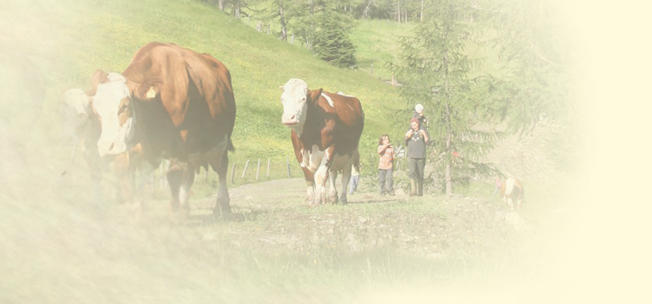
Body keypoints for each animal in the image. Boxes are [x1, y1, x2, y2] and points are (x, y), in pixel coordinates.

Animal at [87, 42, 237, 216]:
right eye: (96, 109)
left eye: (124, 106)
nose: (106, 146)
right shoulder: (143, 147)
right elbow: (139, 176)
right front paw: (139, 209)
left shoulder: (179, 147)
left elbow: (173, 175)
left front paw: (174, 212)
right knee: (190, 173)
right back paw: (186, 206)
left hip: (221, 141)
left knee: (221, 168)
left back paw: (222, 205)